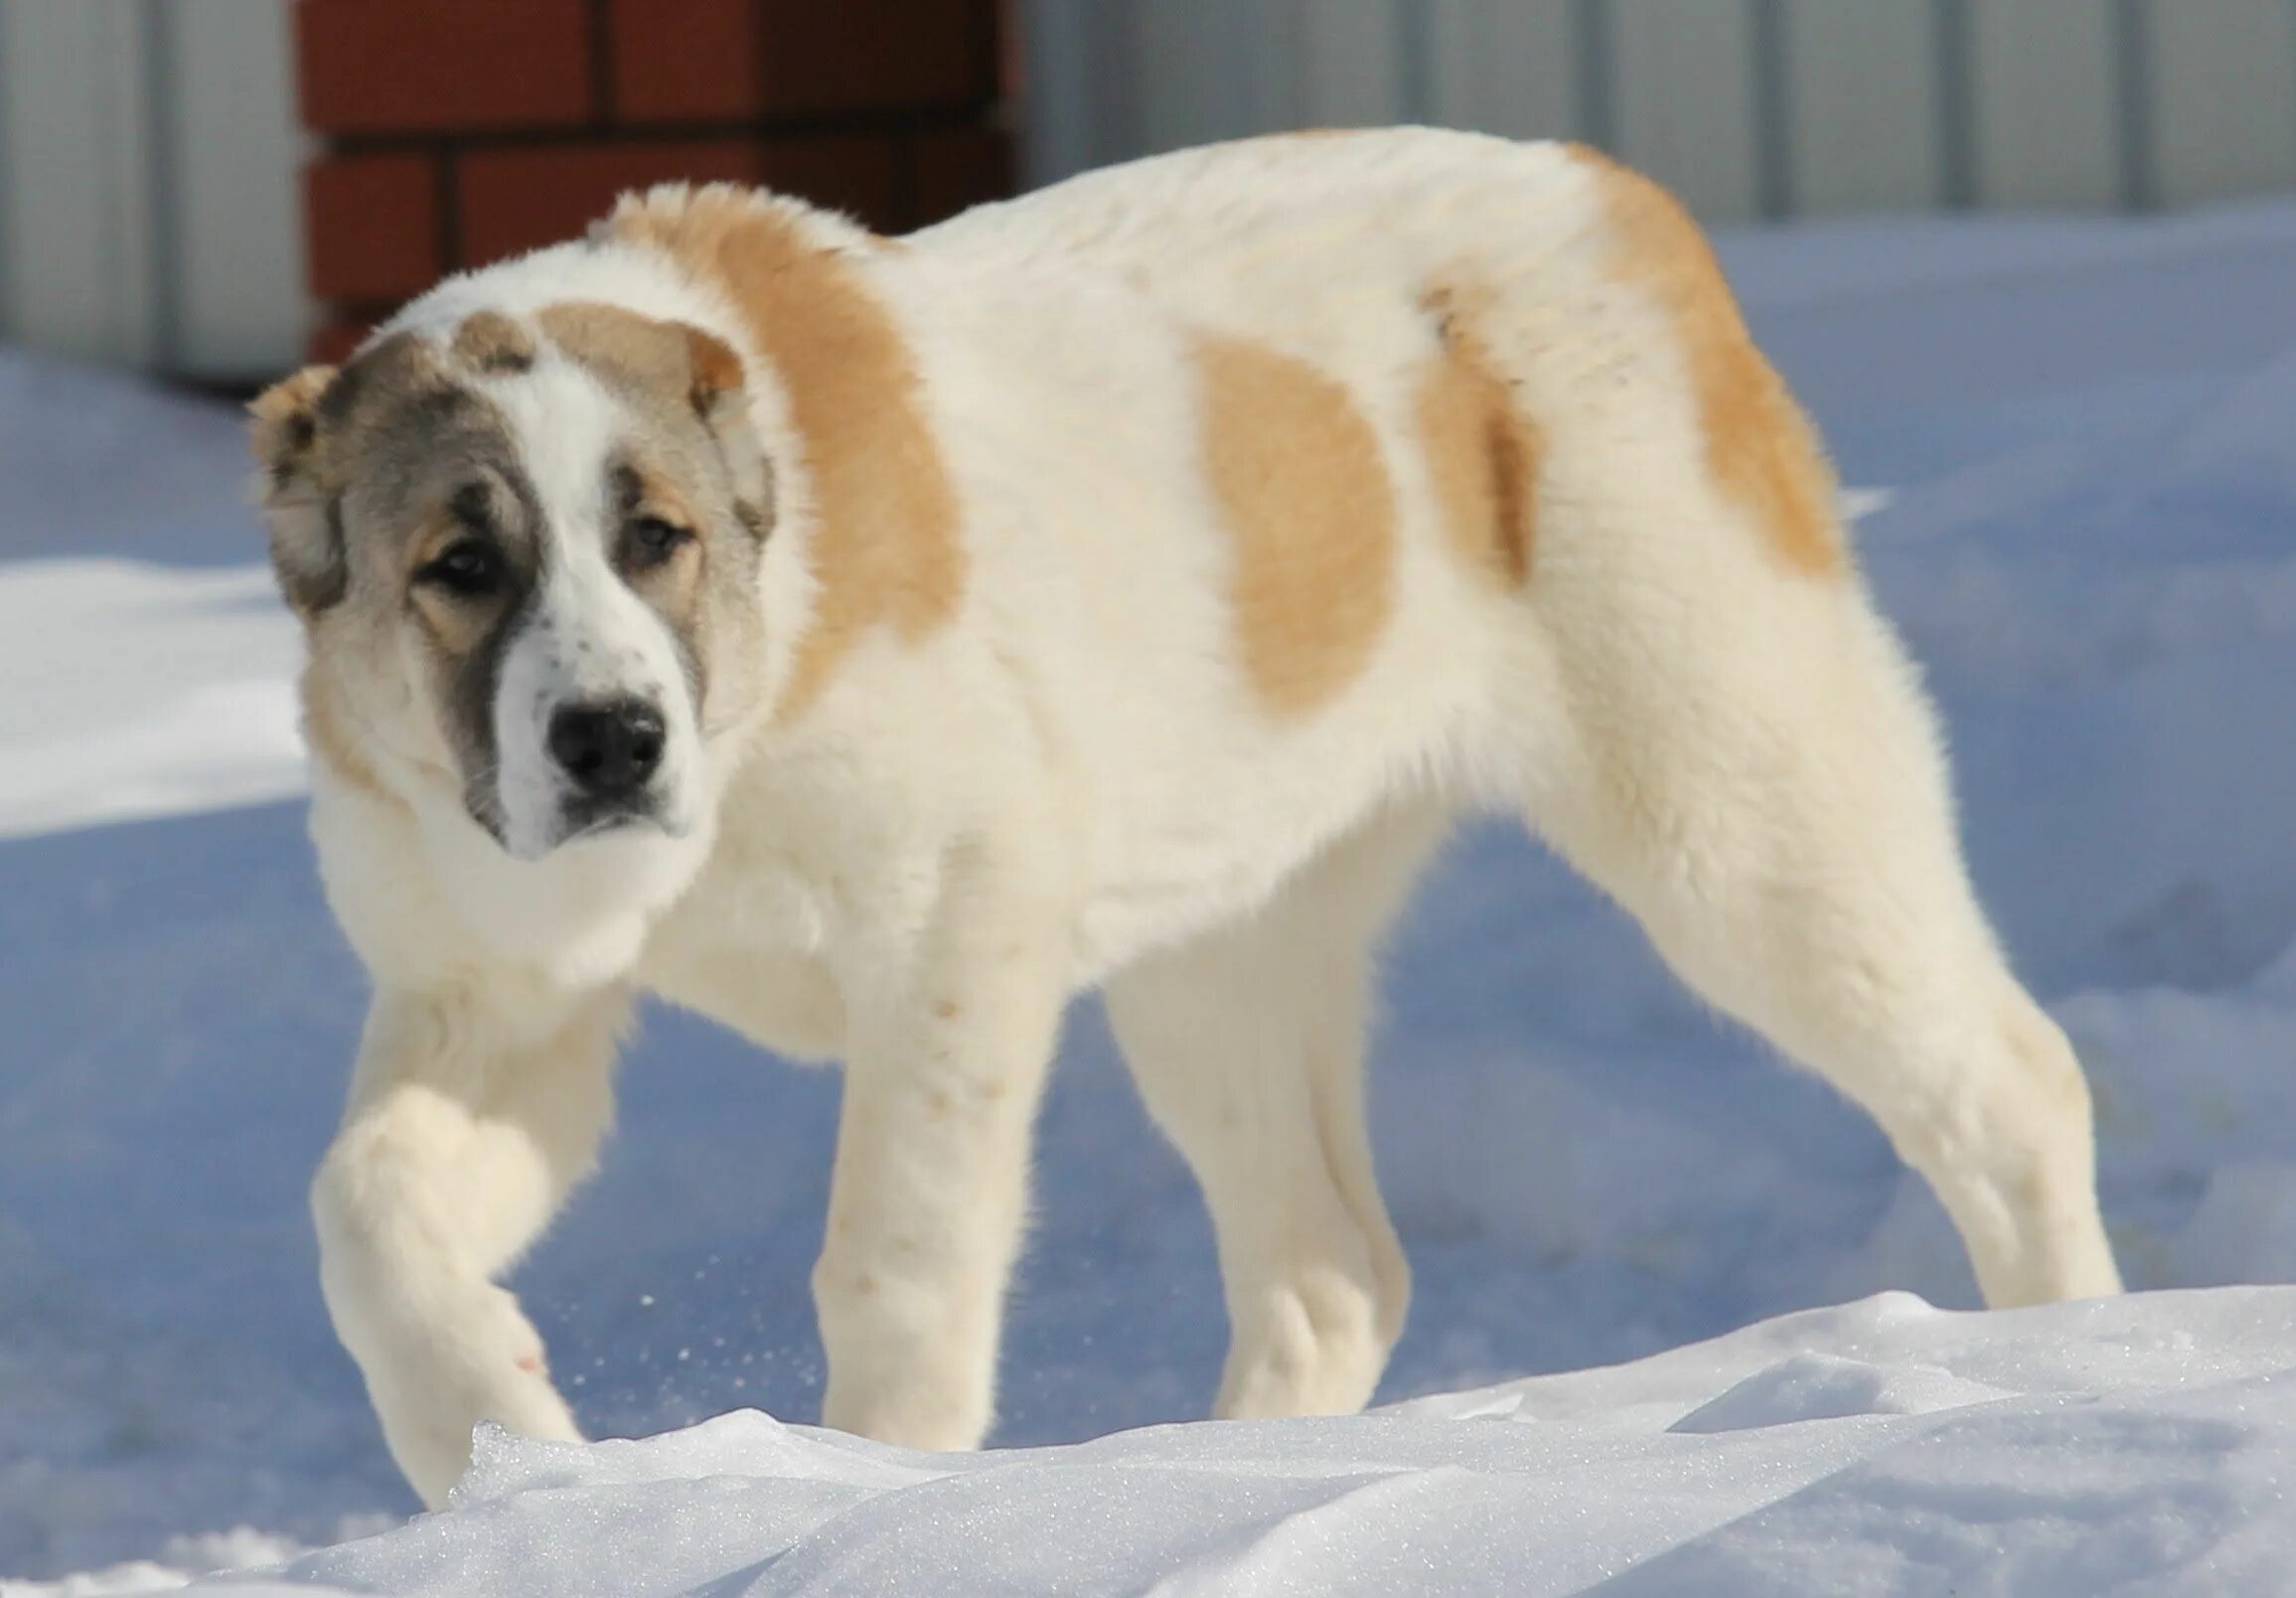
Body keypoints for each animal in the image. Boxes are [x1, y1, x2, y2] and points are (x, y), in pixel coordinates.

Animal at [246, 127, 2112, 1506]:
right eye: (459, 566)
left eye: (656, 539)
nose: (614, 741)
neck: (757, 671)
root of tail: (1613, 193)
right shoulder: (498, 997)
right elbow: (361, 1208)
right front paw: (496, 1431)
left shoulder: (952, 922)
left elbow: (894, 1258)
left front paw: (875, 1486)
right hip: (1223, 945)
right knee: (1329, 1265)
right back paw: (1206, 1478)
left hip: (1737, 798)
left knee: (2006, 1085)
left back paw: (2053, 1376)